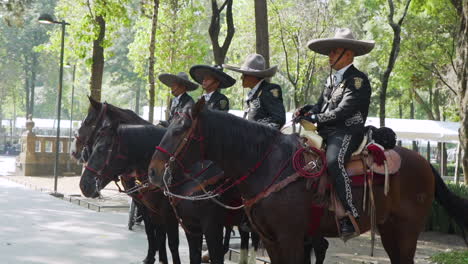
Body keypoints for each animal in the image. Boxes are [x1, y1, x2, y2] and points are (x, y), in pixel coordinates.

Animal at [147, 99, 468, 264]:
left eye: (180, 130)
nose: (153, 171)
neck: (267, 165)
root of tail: (424, 163)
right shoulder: (269, 239)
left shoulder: (287, 237)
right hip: (389, 229)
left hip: (405, 232)